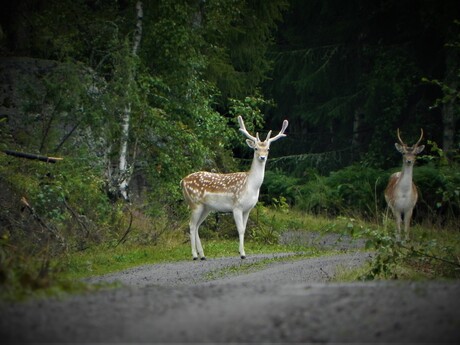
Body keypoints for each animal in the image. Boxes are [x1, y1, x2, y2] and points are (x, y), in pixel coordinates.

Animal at [180, 115, 288, 258]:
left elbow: (245, 229)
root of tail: (182, 181)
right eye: (255, 148)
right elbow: (240, 229)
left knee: (197, 226)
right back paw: (194, 255)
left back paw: (202, 255)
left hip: (206, 207)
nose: (262, 157)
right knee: (192, 225)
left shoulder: (248, 209)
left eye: (268, 149)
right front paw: (242, 253)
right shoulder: (237, 206)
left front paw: (242, 251)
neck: (251, 186)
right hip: (195, 203)